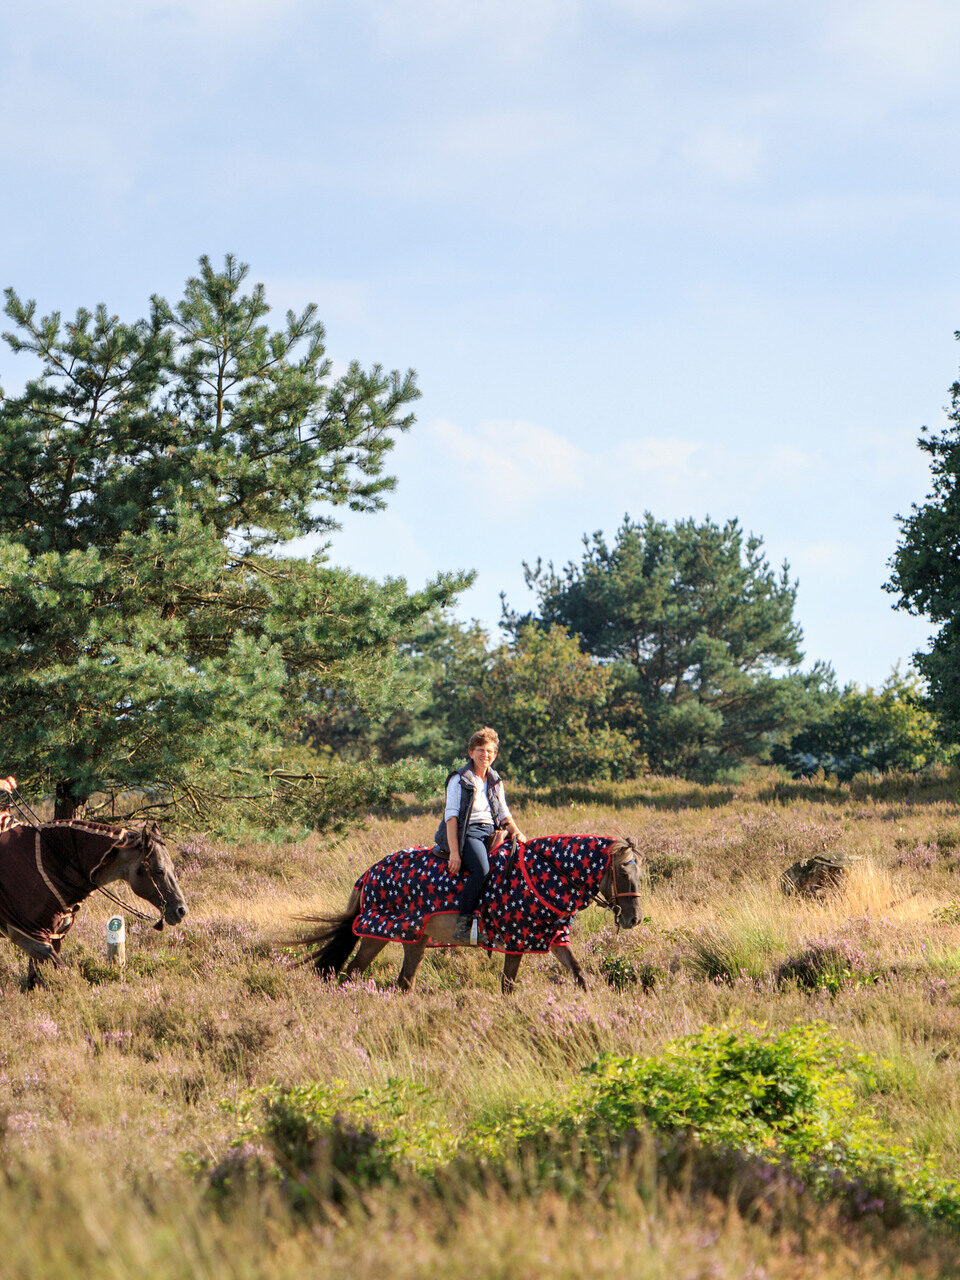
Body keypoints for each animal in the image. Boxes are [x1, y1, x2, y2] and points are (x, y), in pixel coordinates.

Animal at [0, 819, 189, 988]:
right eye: (159, 870)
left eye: (173, 868)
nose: (181, 910)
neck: (50, 863)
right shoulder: (32, 939)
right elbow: (66, 977)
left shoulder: (52, 938)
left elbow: (34, 981)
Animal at [296, 834, 650, 993]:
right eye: (623, 871)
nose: (633, 919)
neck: (545, 874)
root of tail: (369, 873)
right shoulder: (516, 939)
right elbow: (508, 984)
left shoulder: (551, 938)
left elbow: (578, 975)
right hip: (386, 933)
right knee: (361, 974)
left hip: (406, 938)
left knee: (391, 979)